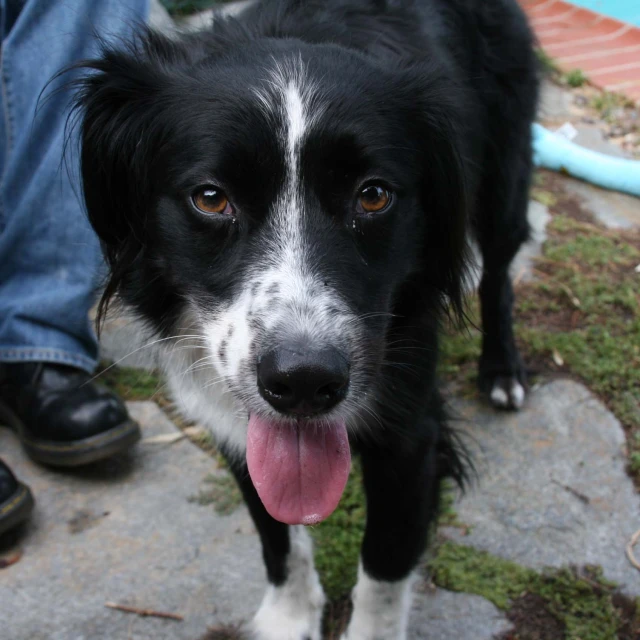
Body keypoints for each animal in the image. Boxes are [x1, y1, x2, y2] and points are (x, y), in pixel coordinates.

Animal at [74, 1, 536, 636]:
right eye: (210, 198)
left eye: (373, 195)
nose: (303, 382)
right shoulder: (232, 414)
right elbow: (275, 534)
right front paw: (288, 618)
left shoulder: (410, 429)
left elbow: (386, 563)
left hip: (503, 163)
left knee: (497, 267)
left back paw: (502, 372)